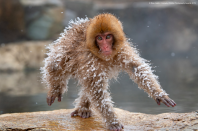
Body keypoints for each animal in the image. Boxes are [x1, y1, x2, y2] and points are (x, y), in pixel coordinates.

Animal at [41, 13, 176, 131]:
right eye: (100, 38)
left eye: (108, 37)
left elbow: (136, 68)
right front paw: (112, 121)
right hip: (65, 44)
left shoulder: (121, 50)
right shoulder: (90, 59)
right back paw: (56, 88)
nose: (105, 47)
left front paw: (159, 94)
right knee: (55, 63)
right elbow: (96, 89)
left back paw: (83, 107)